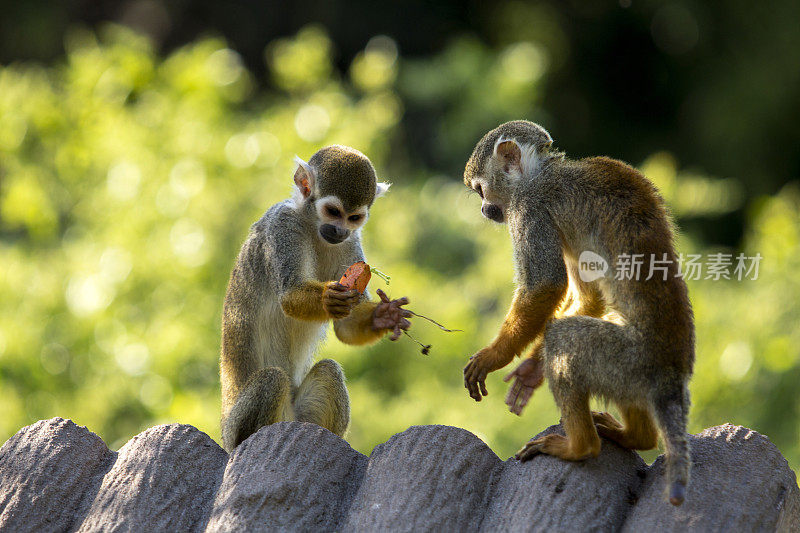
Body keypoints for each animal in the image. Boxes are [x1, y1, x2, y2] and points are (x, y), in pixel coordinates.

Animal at [222, 147, 412, 454]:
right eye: (333, 212)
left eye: (354, 218)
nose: (339, 231)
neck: (312, 225)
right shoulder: (283, 225)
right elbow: (289, 296)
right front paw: (328, 299)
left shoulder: (352, 242)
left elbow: (346, 326)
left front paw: (384, 316)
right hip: (235, 428)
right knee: (271, 379)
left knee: (329, 370)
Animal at [462, 120, 692, 508]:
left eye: (481, 190)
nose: (483, 209)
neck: (542, 172)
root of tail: (672, 373)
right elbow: (590, 295)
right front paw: (531, 369)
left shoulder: (528, 209)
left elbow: (546, 286)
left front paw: (495, 357)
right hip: (629, 372)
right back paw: (636, 437)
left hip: (627, 358)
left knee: (565, 338)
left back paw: (580, 447)